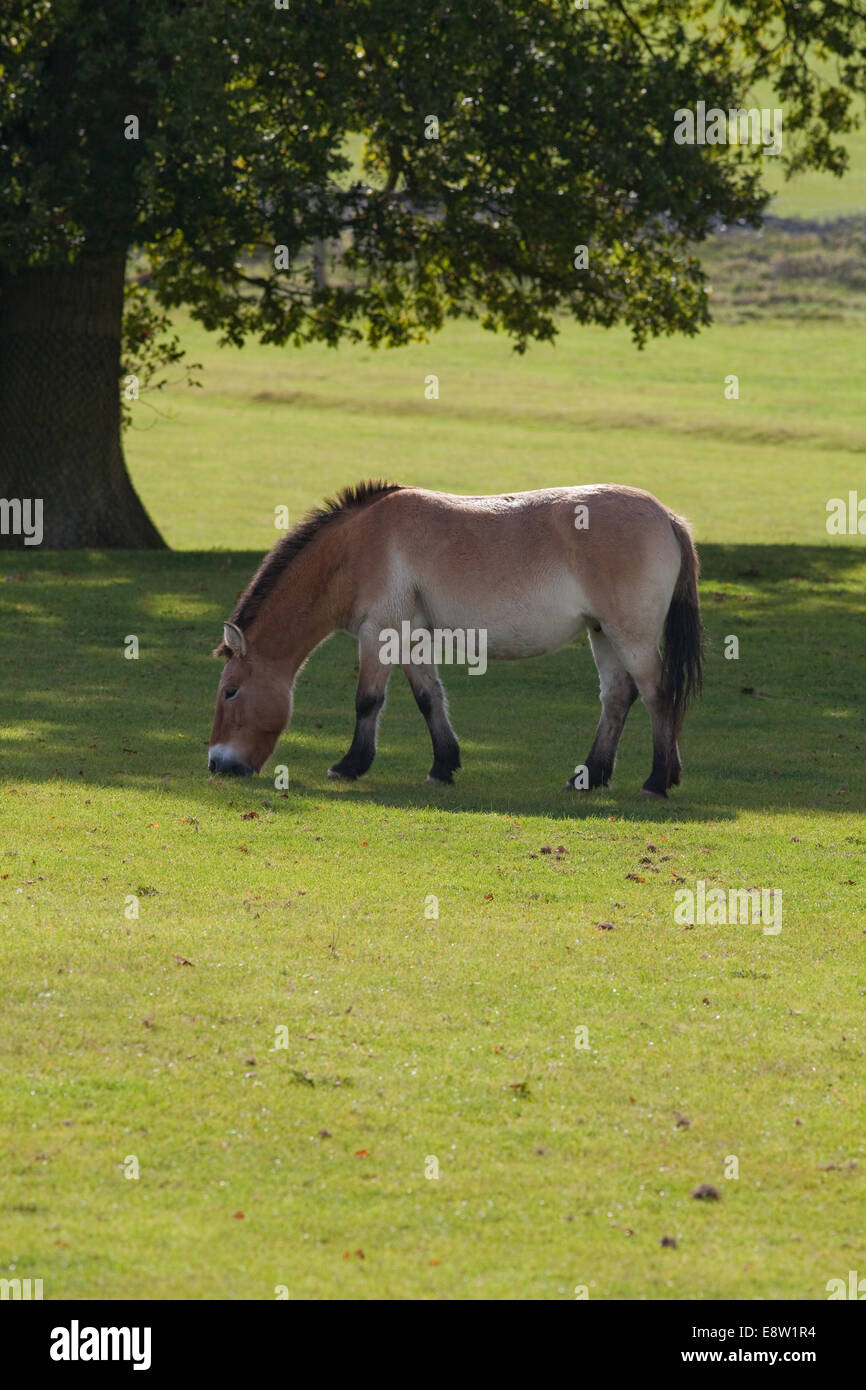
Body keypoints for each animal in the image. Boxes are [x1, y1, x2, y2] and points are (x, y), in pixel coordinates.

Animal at [208, 483, 706, 800]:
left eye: (230, 691)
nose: (217, 764)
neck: (357, 547)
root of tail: (667, 517)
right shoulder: (409, 638)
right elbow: (429, 698)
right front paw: (443, 766)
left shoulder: (379, 632)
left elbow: (367, 700)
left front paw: (349, 766)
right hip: (602, 632)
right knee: (618, 697)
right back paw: (592, 776)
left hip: (630, 634)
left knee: (658, 693)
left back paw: (656, 781)